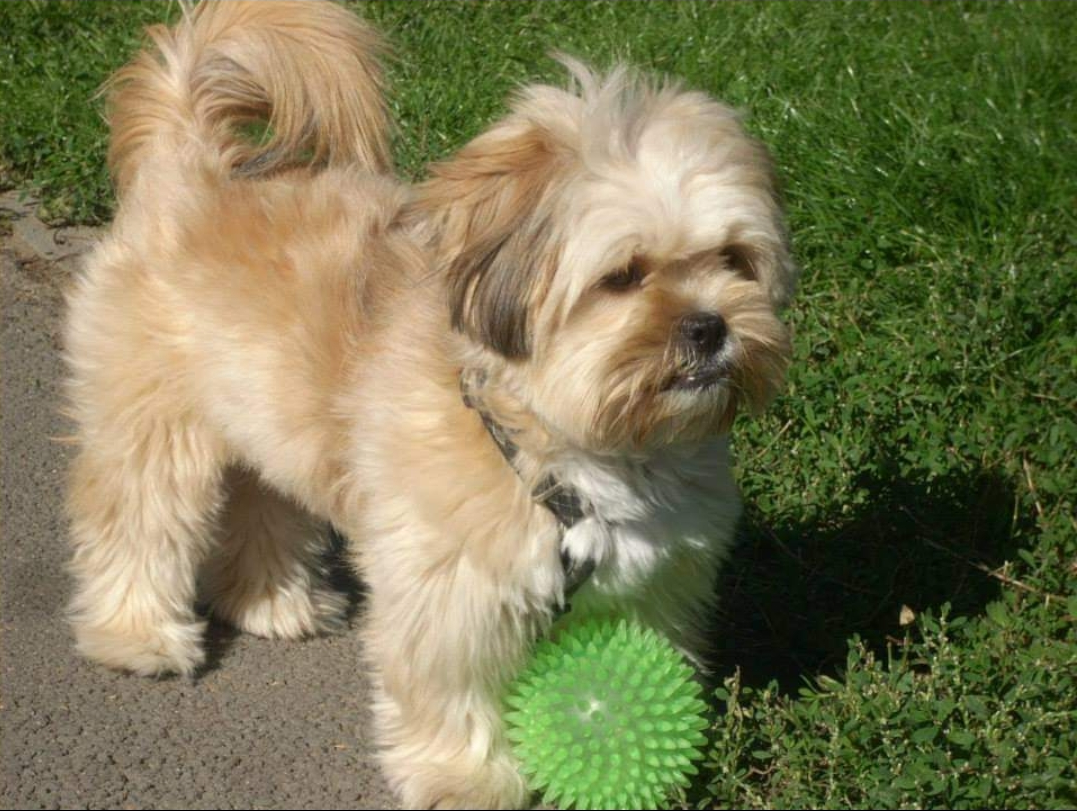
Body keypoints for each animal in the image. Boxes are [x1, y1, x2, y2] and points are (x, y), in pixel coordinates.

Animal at [63, 2, 797, 807]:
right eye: (623, 276)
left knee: (266, 503)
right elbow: (453, 693)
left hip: (273, 421)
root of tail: (191, 162)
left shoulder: (655, 585)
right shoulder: (449, 594)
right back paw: (138, 634)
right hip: (150, 419)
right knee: (138, 517)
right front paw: (465, 778)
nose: (709, 325)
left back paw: (277, 603)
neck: (563, 447)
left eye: (732, 260)